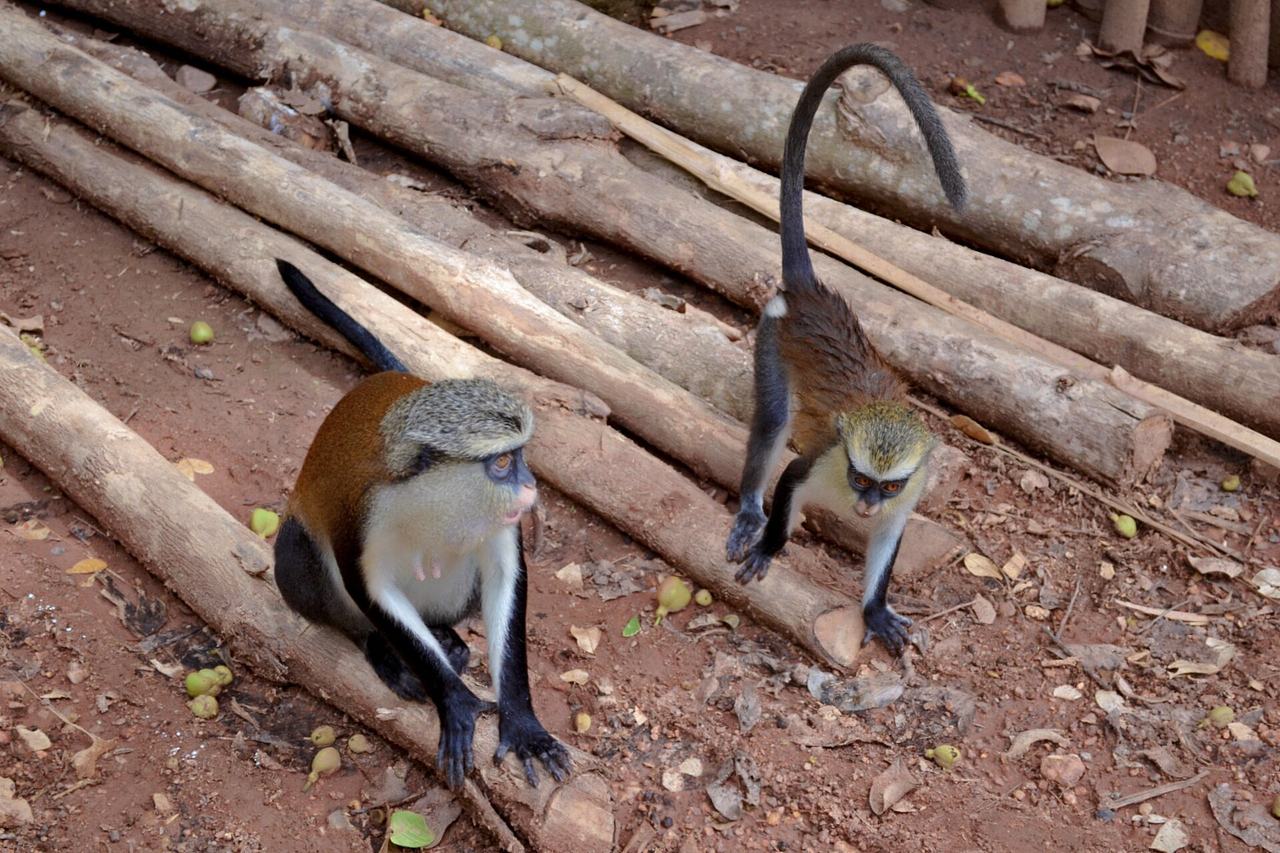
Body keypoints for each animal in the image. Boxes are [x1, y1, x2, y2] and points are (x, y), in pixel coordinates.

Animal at [271, 259, 570, 790]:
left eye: (520, 457)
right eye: (502, 464)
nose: (531, 486)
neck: (433, 497)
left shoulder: (500, 523)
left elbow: (506, 579)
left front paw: (523, 723)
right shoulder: (360, 511)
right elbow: (368, 587)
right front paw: (455, 701)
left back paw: (446, 636)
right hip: (300, 556)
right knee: (299, 554)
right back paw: (381, 647)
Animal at [725, 45, 967, 655]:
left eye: (888, 486)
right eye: (860, 479)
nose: (864, 505)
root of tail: (809, 293)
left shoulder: (908, 498)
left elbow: (887, 542)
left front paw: (874, 610)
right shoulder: (820, 464)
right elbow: (788, 479)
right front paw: (768, 545)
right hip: (773, 335)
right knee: (774, 419)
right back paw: (749, 509)